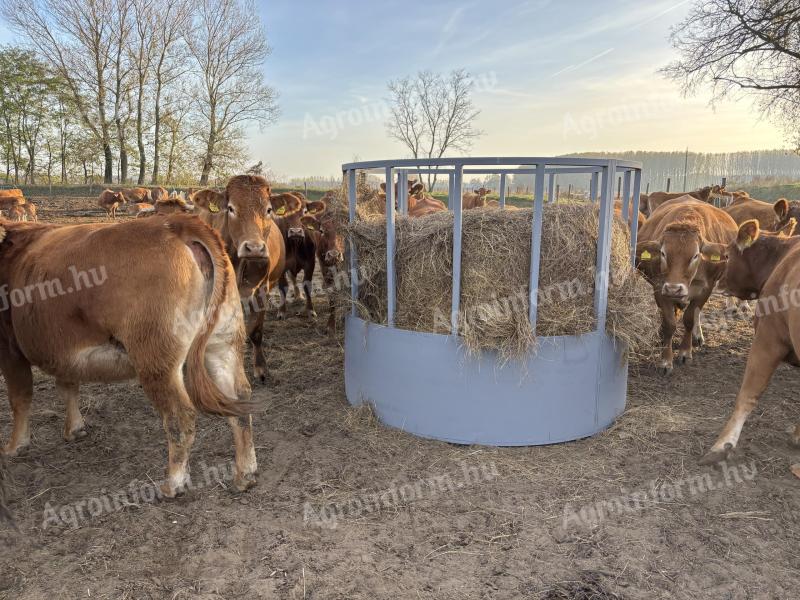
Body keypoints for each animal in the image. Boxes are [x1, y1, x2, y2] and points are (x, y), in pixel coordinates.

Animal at [0, 218, 256, 494]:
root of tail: (176, 224)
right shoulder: (61, 351)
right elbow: (68, 387)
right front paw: (74, 428)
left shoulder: (9, 347)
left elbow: (20, 397)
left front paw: (15, 445)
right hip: (224, 343)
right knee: (240, 401)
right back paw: (245, 473)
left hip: (156, 361)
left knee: (180, 416)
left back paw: (173, 482)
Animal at [192, 178, 286, 382]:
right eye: (231, 208)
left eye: (268, 209)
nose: (255, 248)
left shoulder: (261, 291)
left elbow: (256, 331)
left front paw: (260, 368)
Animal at [636, 199, 736, 372]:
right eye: (663, 253)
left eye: (695, 255)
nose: (674, 288)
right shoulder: (660, 288)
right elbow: (669, 323)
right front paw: (665, 360)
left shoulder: (705, 290)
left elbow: (690, 318)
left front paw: (685, 352)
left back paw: (697, 336)